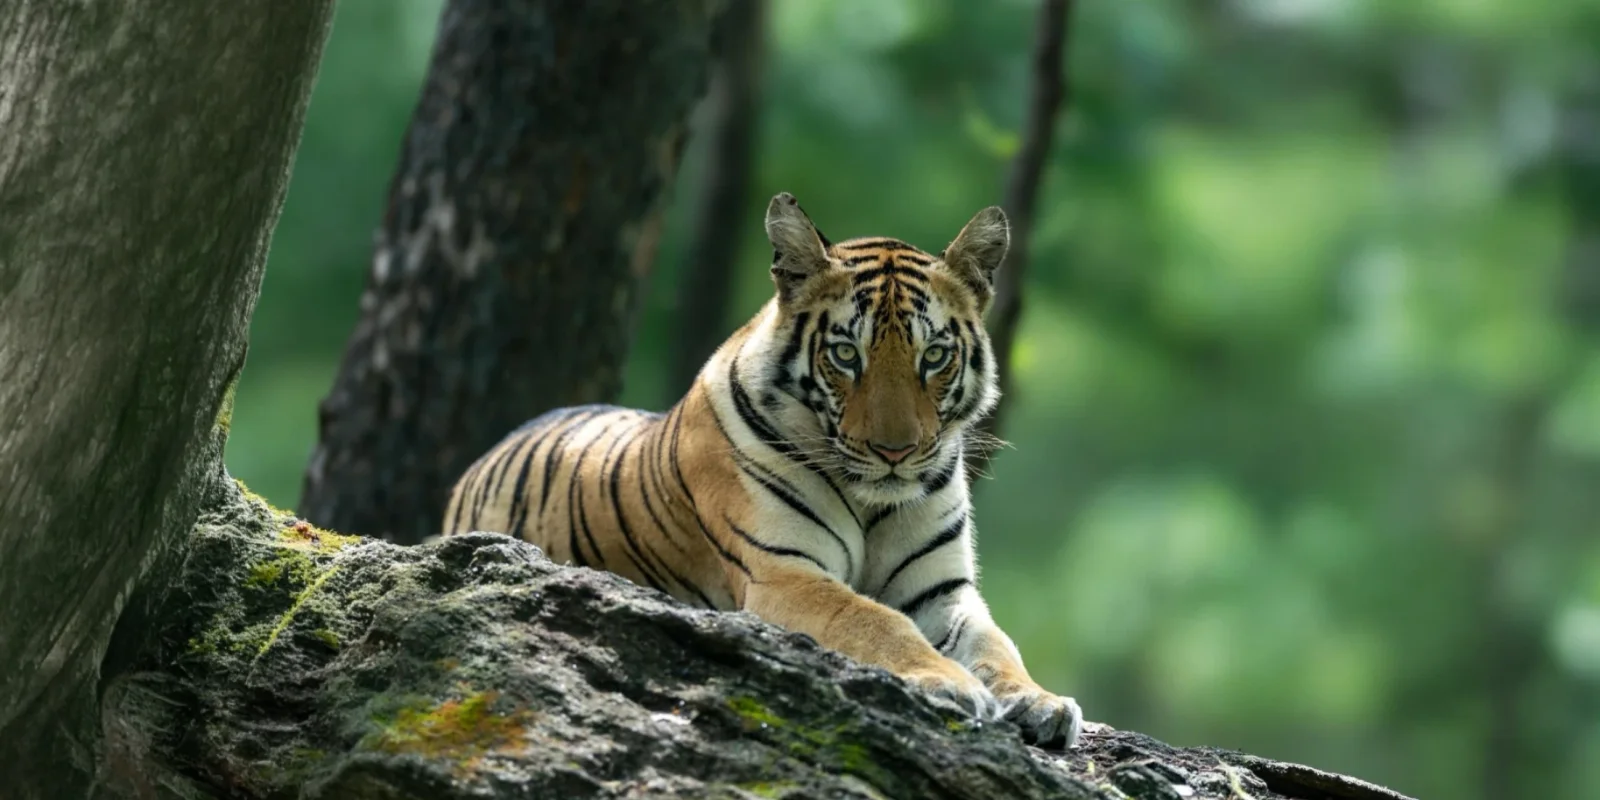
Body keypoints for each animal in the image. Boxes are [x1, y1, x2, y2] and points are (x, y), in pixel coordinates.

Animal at [442, 192, 1083, 747]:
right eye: (846, 354)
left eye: (934, 357)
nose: (895, 452)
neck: (873, 502)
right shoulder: (784, 572)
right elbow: (873, 620)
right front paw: (951, 684)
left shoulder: (942, 592)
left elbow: (998, 646)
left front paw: (1042, 701)